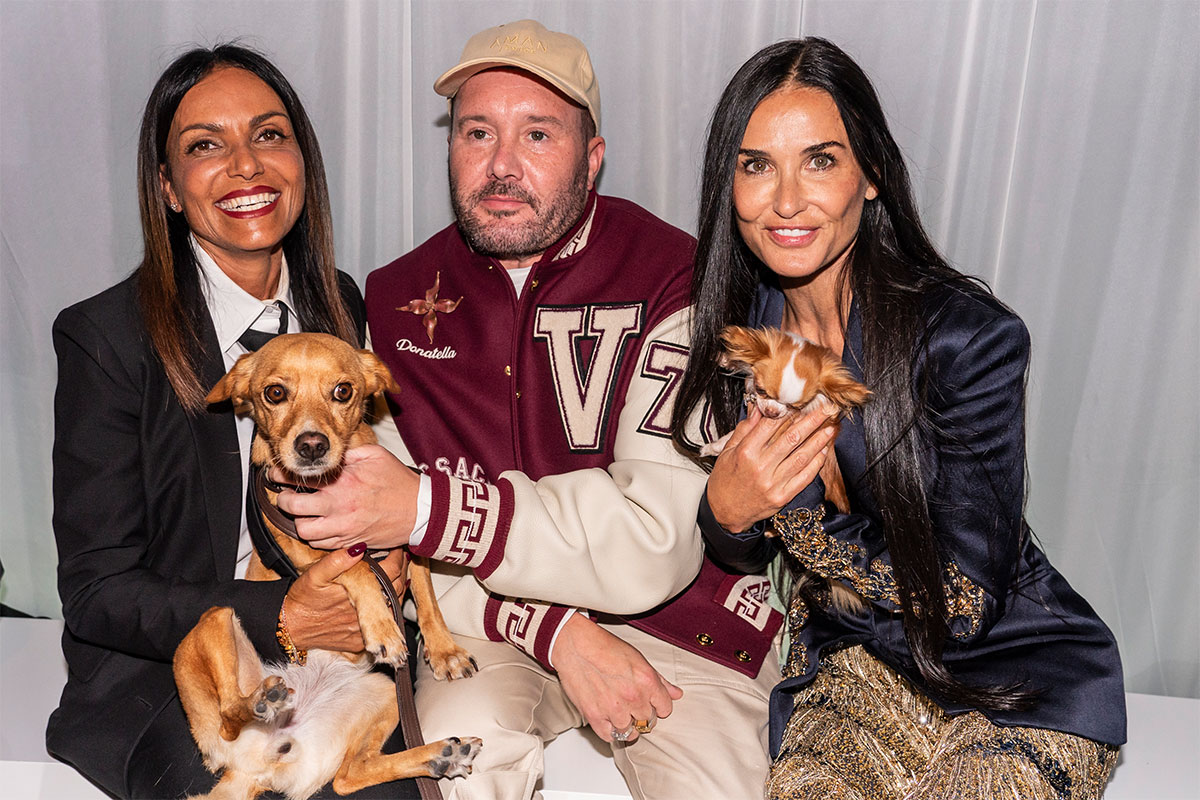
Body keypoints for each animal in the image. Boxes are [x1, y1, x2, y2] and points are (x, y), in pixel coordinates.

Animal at [173, 332, 480, 800]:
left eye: (343, 391)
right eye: (274, 393)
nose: (312, 445)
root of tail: (254, 767)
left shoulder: (408, 541)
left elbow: (426, 594)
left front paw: (444, 650)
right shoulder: (307, 553)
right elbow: (355, 566)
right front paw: (382, 628)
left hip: (385, 693)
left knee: (349, 777)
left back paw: (439, 756)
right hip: (215, 619)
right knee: (229, 715)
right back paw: (260, 702)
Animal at [700, 325, 872, 613]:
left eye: (795, 407)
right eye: (762, 390)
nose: (771, 412)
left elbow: (733, 437)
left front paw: (714, 447)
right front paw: (730, 359)